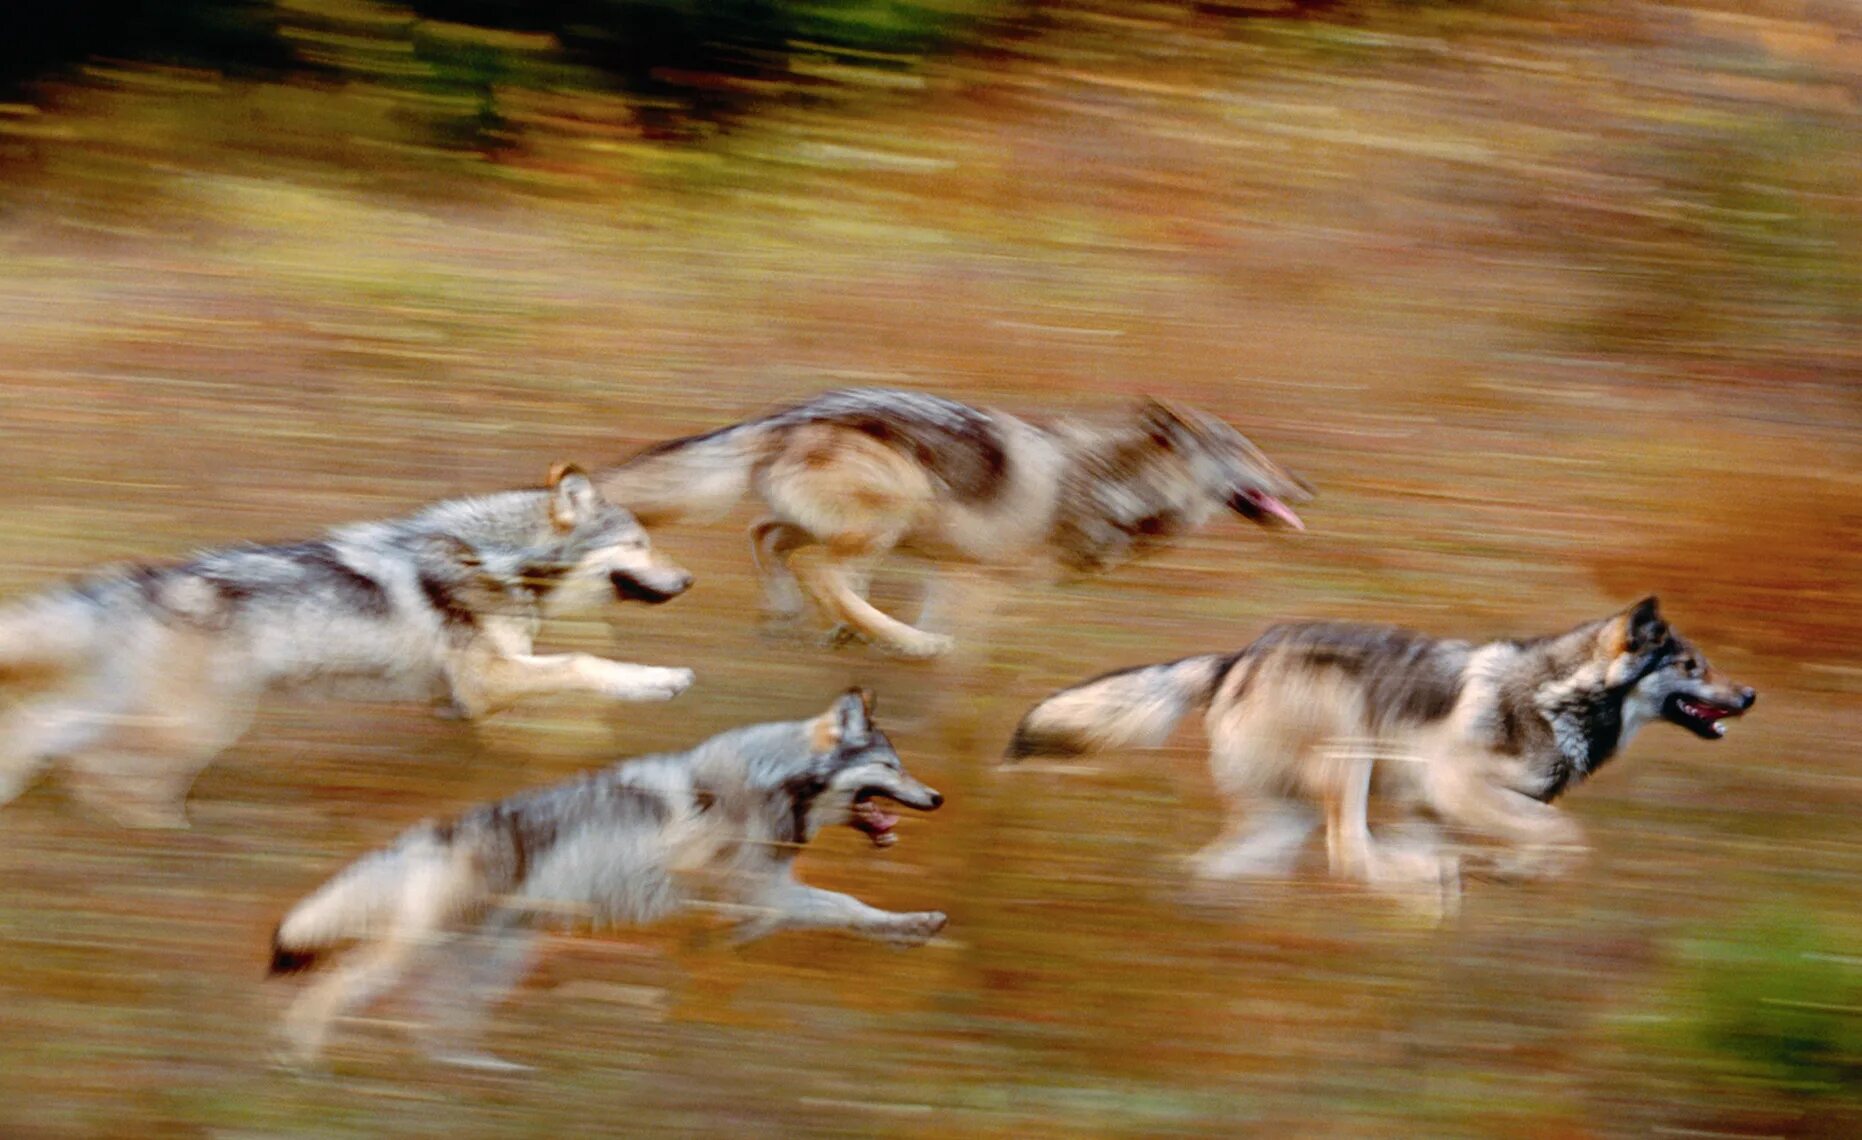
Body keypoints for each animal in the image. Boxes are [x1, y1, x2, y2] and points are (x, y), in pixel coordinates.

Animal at [0, 463, 696, 827]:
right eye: (639, 545)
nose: (690, 580)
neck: (495, 556)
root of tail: (133, 582)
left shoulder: (468, 691)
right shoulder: (490, 679)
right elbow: (587, 662)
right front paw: (660, 681)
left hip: (149, 712)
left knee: (44, 732)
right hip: (195, 725)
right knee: (100, 774)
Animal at [266, 689, 945, 1072]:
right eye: (891, 767)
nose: (938, 798)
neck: (772, 779)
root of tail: (441, 831)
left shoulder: (761, 885)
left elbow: (831, 909)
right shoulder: (734, 881)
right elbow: (840, 905)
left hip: (496, 962)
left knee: (438, 1023)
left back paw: (480, 1073)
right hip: (427, 954)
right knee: (328, 994)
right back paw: (303, 1069)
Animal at [595, 389, 1310, 659]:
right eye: (1246, 453)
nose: (1309, 487)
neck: (1113, 483)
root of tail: (784, 416)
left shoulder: (959, 572)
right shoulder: (981, 578)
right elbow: (966, 637)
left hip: (863, 526)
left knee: (770, 541)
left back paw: (801, 622)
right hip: (891, 512)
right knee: (815, 567)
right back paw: (900, 641)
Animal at [1005, 599, 1742, 905]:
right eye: (1692, 667)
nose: (1752, 694)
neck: (1557, 697)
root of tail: (1238, 656)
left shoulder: (1431, 810)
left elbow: (1543, 838)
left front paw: (1496, 874)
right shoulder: (1454, 786)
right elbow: (1566, 835)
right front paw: (1508, 872)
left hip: (1283, 818)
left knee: (1219, 869)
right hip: (1349, 747)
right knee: (1346, 852)